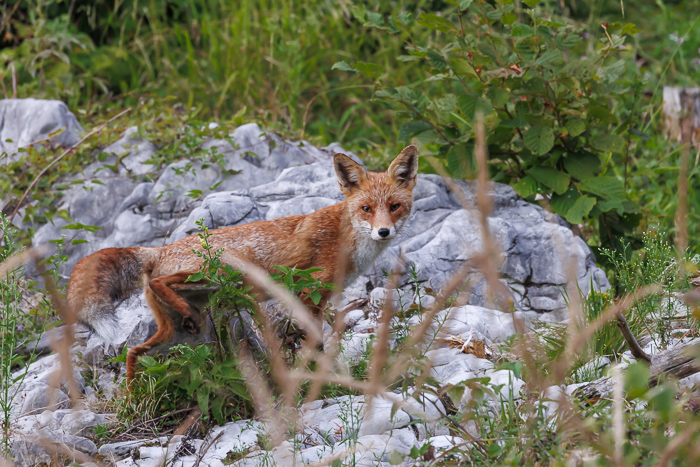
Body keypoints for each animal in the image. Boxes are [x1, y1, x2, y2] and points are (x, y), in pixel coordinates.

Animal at [67, 145, 416, 380]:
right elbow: (313, 341)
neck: (345, 238)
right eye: (367, 209)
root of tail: (161, 250)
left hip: (172, 331)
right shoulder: (310, 292)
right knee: (160, 284)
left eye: (395, 206)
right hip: (219, 272)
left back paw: (132, 393)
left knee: (133, 352)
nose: (384, 231)